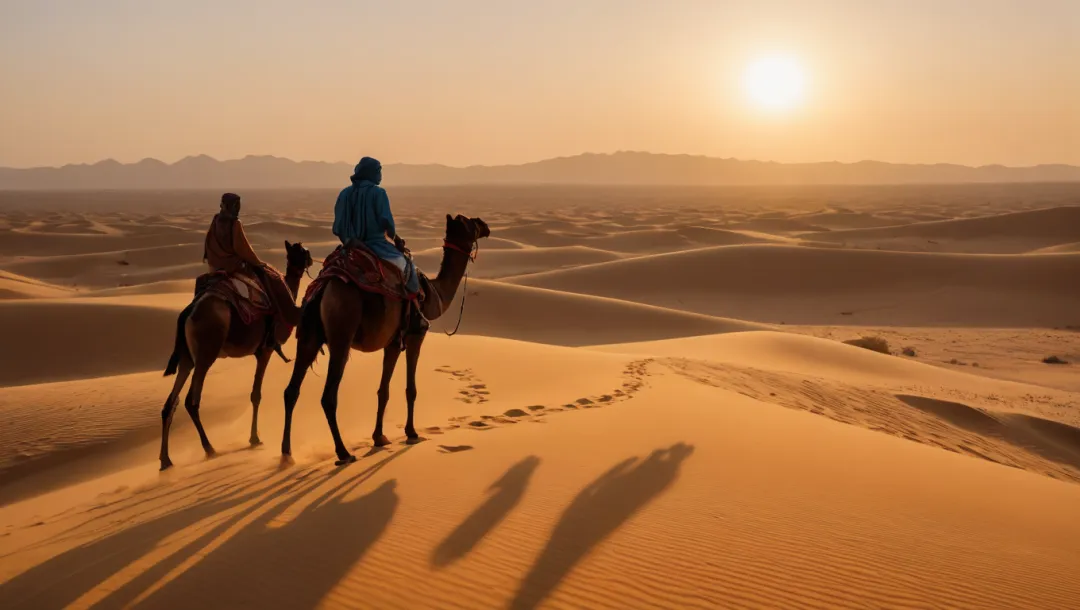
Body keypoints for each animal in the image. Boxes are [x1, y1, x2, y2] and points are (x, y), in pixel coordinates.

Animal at [158, 240, 315, 468]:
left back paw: (166, 460)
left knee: (170, 403)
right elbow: (256, 394)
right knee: (191, 401)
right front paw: (255, 438)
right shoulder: (266, 349)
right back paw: (209, 449)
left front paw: (254, 437)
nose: (310, 259)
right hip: (206, 353)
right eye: (303, 251)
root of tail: (188, 312)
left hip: (187, 358)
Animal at [285, 212, 492, 462]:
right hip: (341, 334)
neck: (433, 294)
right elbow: (411, 389)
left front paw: (379, 437)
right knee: (328, 396)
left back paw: (286, 454)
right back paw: (343, 452)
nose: (485, 225)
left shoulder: (392, 343)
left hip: (308, 336)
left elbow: (383, 390)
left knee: (291, 391)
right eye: (471, 223)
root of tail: (323, 289)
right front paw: (411, 433)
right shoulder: (415, 334)